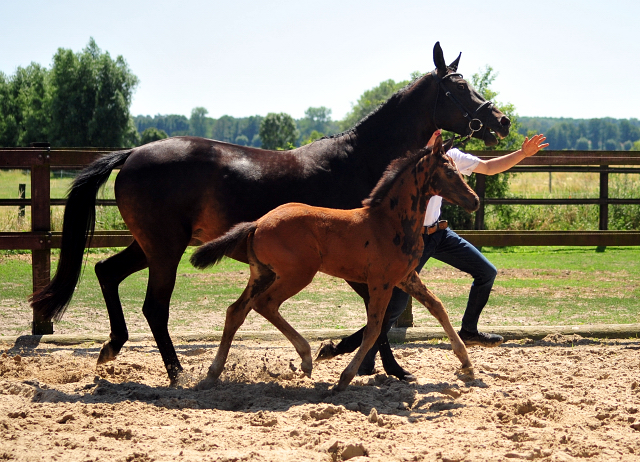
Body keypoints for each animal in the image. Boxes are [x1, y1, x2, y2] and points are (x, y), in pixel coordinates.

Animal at [190, 134, 476, 390]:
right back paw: (306, 358)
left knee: (236, 311)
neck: (390, 222)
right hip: (297, 274)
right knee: (265, 304)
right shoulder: (381, 282)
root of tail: (258, 222)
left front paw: (466, 363)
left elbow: (437, 307)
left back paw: (213, 374)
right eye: (450, 172)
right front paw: (344, 378)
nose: (474, 200)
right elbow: (374, 328)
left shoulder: (406, 277)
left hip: (262, 274)